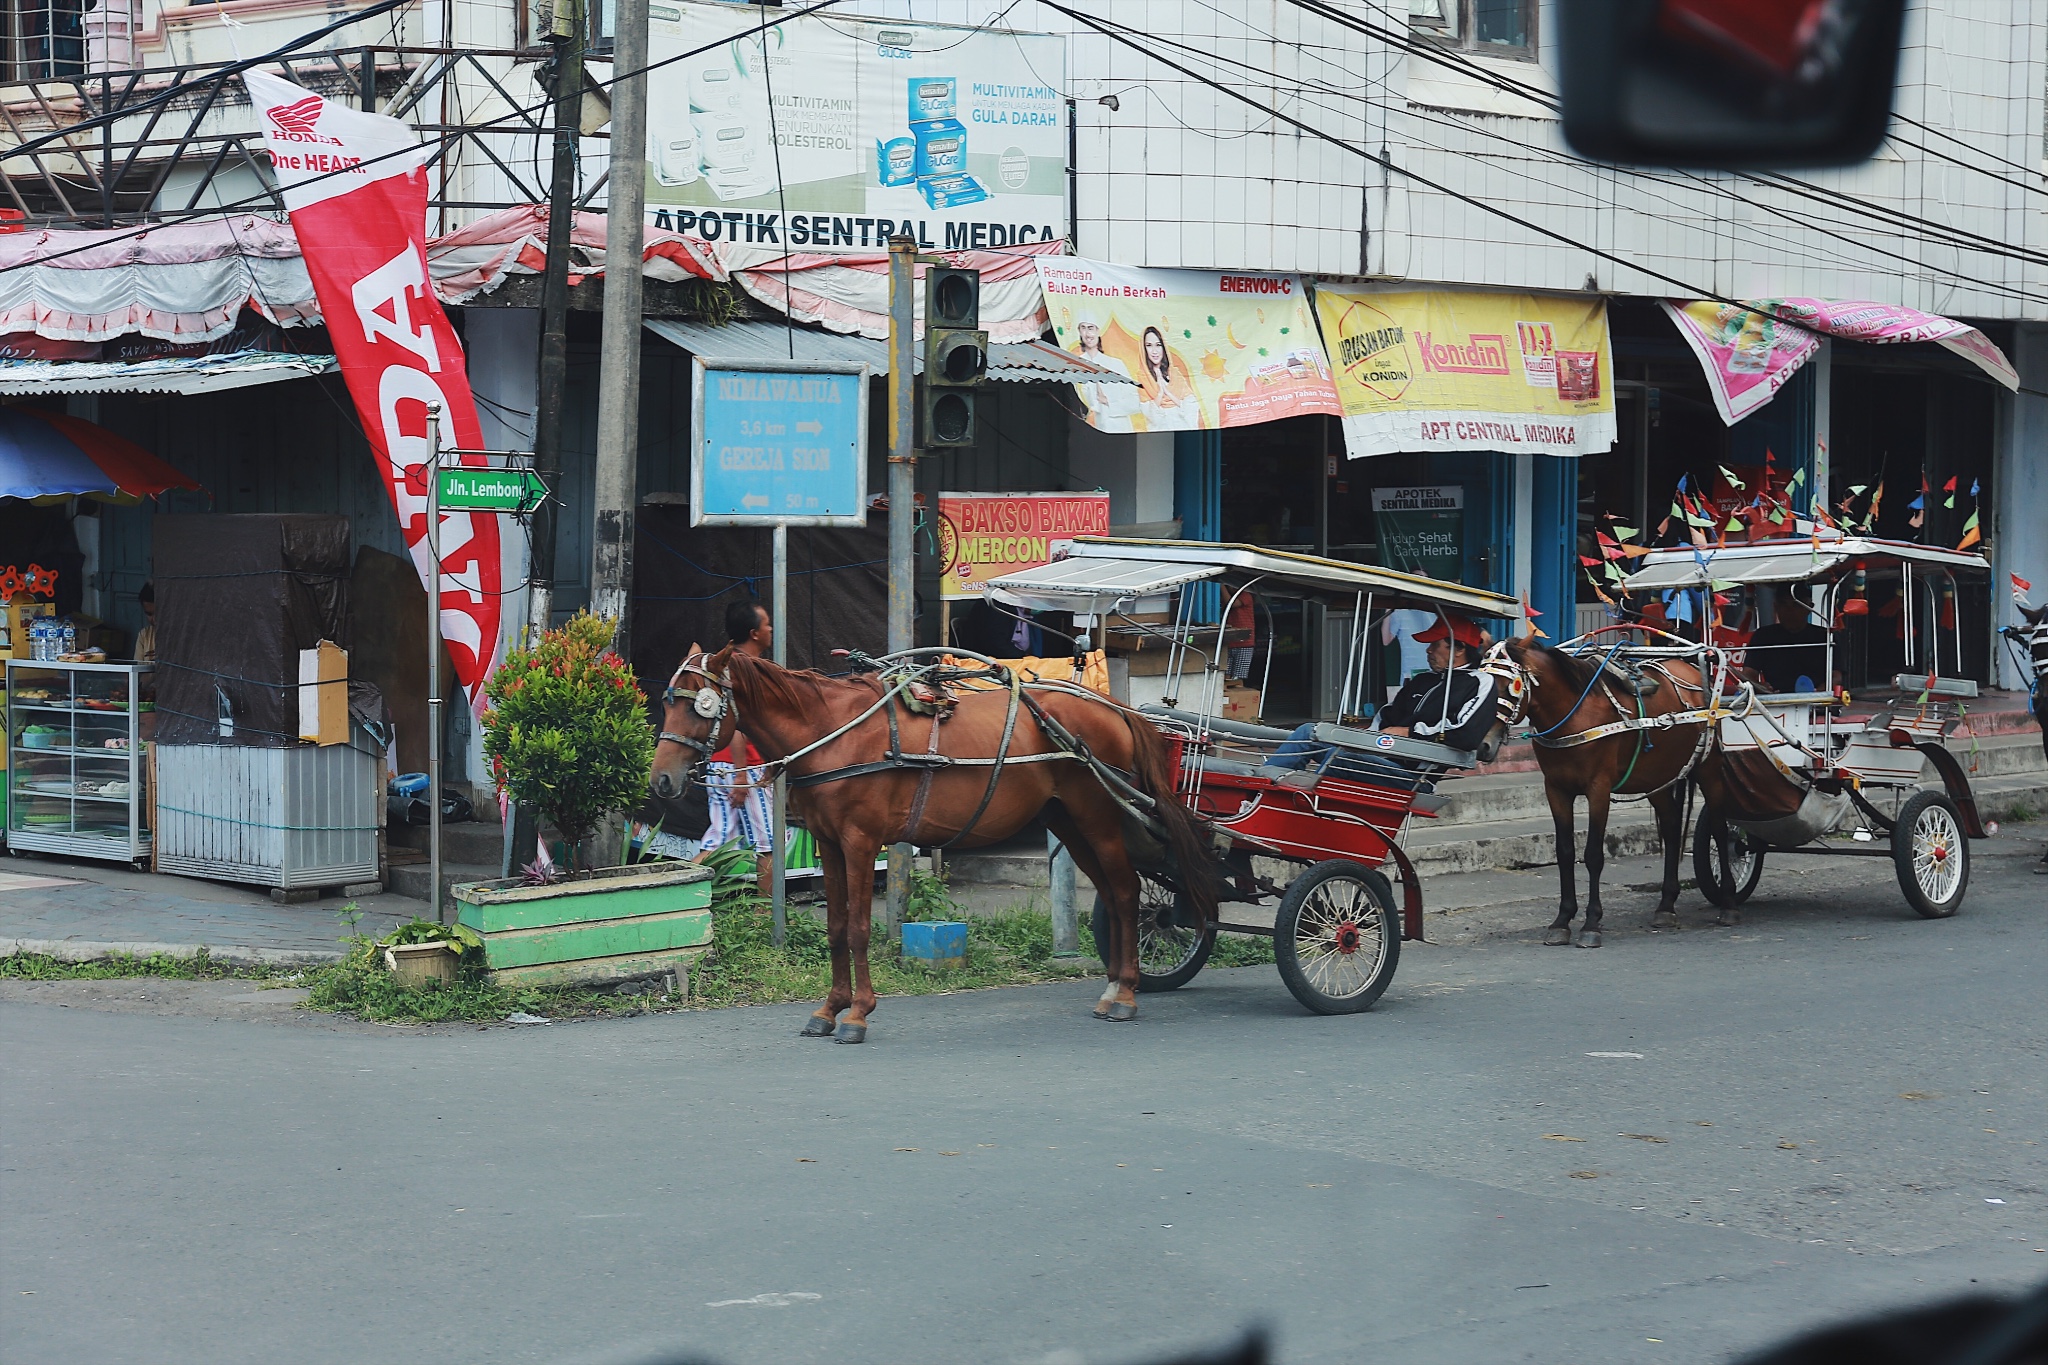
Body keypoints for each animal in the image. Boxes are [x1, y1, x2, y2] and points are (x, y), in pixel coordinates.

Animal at [1499, 642, 1720, 949]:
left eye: (1509, 686)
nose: (1483, 745)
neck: (1572, 713)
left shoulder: (1598, 789)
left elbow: (1593, 855)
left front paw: (1592, 923)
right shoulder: (1556, 789)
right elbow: (1565, 852)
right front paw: (1562, 920)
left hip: (1707, 769)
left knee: (1722, 827)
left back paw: (1728, 903)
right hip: (1656, 776)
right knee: (1672, 826)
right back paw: (1666, 905)